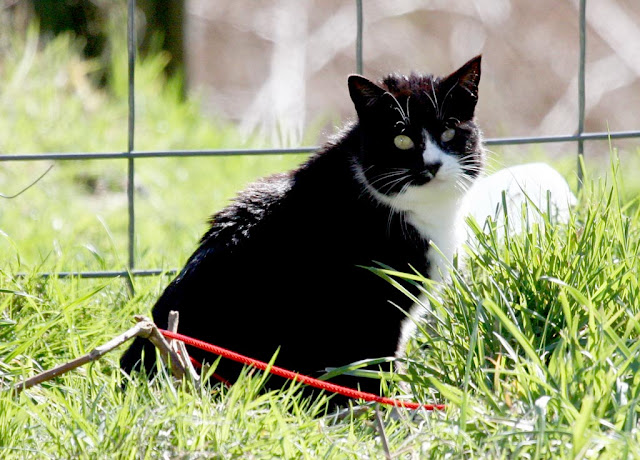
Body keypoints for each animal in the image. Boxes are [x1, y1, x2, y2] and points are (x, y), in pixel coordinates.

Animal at [120, 54, 482, 398]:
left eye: (449, 131)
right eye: (402, 139)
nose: (433, 165)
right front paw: (394, 407)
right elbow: (380, 365)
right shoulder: (374, 304)